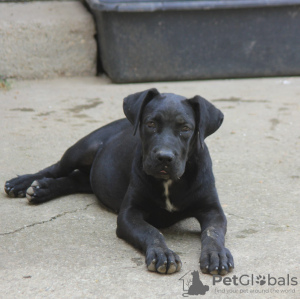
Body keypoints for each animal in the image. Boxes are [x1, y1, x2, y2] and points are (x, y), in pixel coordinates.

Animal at [5, 88, 234, 276]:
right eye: (151, 124)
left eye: (185, 128)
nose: (164, 157)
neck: (169, 182)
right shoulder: (129, 214)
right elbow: (151, 231)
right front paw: (162, 254)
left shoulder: (212, 210)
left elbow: (213, 233)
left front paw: (217, 255)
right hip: (83, 148)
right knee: (56, 168)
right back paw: (24, 184)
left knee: (76, 179)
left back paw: (43, 189)